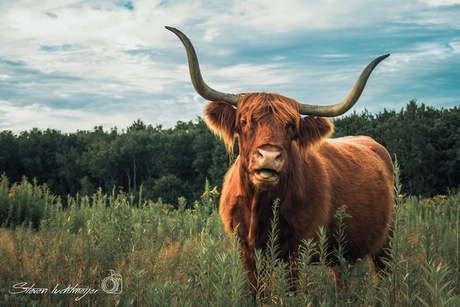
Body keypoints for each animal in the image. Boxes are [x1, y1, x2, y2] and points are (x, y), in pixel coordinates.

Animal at [167, 26, 394, 288]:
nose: (269, 156)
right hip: (342, 253)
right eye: (244, 122)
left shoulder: (298, 250)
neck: (260, 207)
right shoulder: (247, 251)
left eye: (292, 127)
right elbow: (257, 290)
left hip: (385, 241)